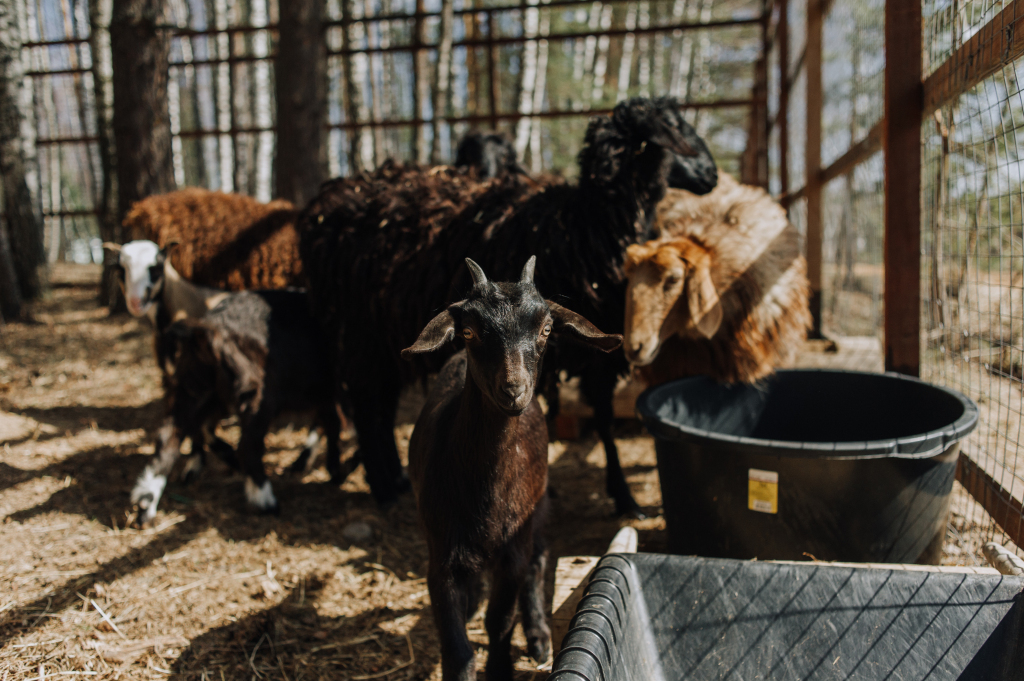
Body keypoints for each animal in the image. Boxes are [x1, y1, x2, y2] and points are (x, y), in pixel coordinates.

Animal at [129, 286, 339, 520]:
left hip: (194, 387)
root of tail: (212, 327)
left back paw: (146, 502)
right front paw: (332, 468)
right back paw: (265, 499)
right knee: (247, 445)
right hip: (256, 394)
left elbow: (327, 422)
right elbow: (331, 424)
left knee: (170, 436)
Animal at [301, 94, 720, 509]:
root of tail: (324, 204)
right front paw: (620, 494)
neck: (586, 220)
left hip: (384, 337)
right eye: (674, 128)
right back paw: (383, 488)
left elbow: (596, 414)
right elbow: (597, 418)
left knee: (381, 406)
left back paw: (396, 479)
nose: (711, 174)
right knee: (367, 406)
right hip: (359, 332)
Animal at [403, 258, 618, 675]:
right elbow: (456, 646)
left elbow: (500, 620)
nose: (514, 390)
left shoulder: (512, 550)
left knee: (538, 560)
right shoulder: (440, 553)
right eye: (468, 331)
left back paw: (537, 636)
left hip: (538, 508)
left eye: (547, 329)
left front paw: (501, 667)